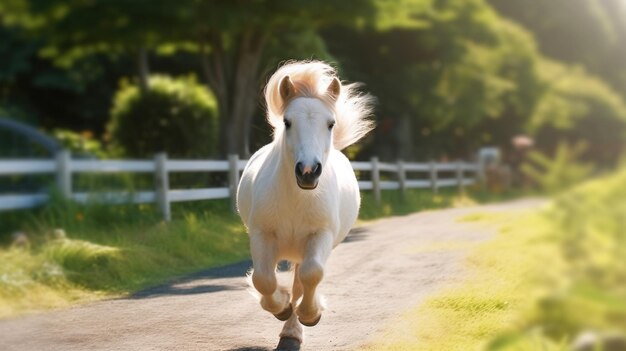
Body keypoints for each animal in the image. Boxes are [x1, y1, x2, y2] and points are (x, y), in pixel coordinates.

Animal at [234, 60, 370, 350]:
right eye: (287, 122)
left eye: (330, 124)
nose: (308, 172)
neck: (297, 198)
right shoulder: (262, 235)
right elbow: (263, 278)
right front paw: (280, 306)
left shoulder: (320, 236)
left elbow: (311, 275)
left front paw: (310, 314)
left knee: (301, 280)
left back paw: (292, 332)